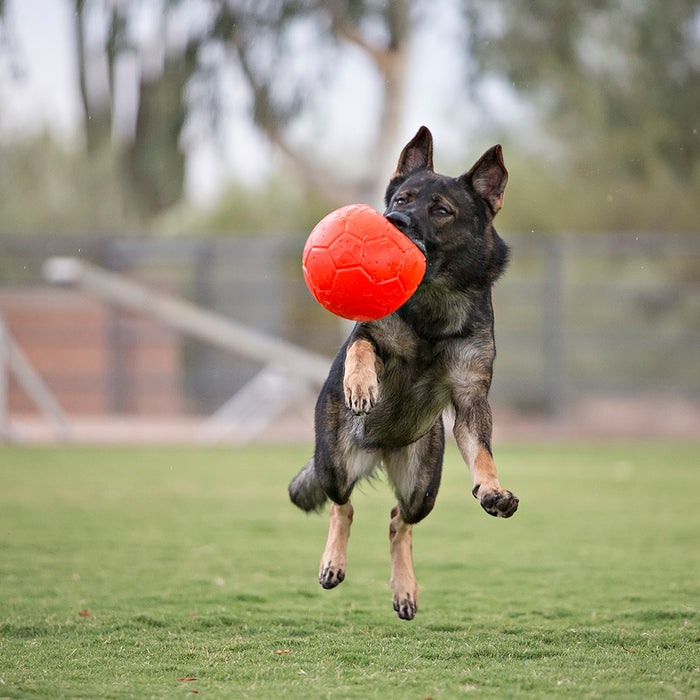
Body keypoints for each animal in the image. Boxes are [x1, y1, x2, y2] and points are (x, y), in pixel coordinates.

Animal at [288, 126, 516, 616]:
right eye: (402, 198)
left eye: (441, 210)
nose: (394, 220)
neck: (433, 305)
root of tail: (380, 448)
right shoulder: (370, 335)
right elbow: (360, 347)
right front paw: (361, 385)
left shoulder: (470, 401)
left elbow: (483, 453)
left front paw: (491, 489)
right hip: (334, 462)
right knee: (342, 506)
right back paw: (333, 562)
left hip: (422, 486)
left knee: (399, 521)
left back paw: (404, 588)